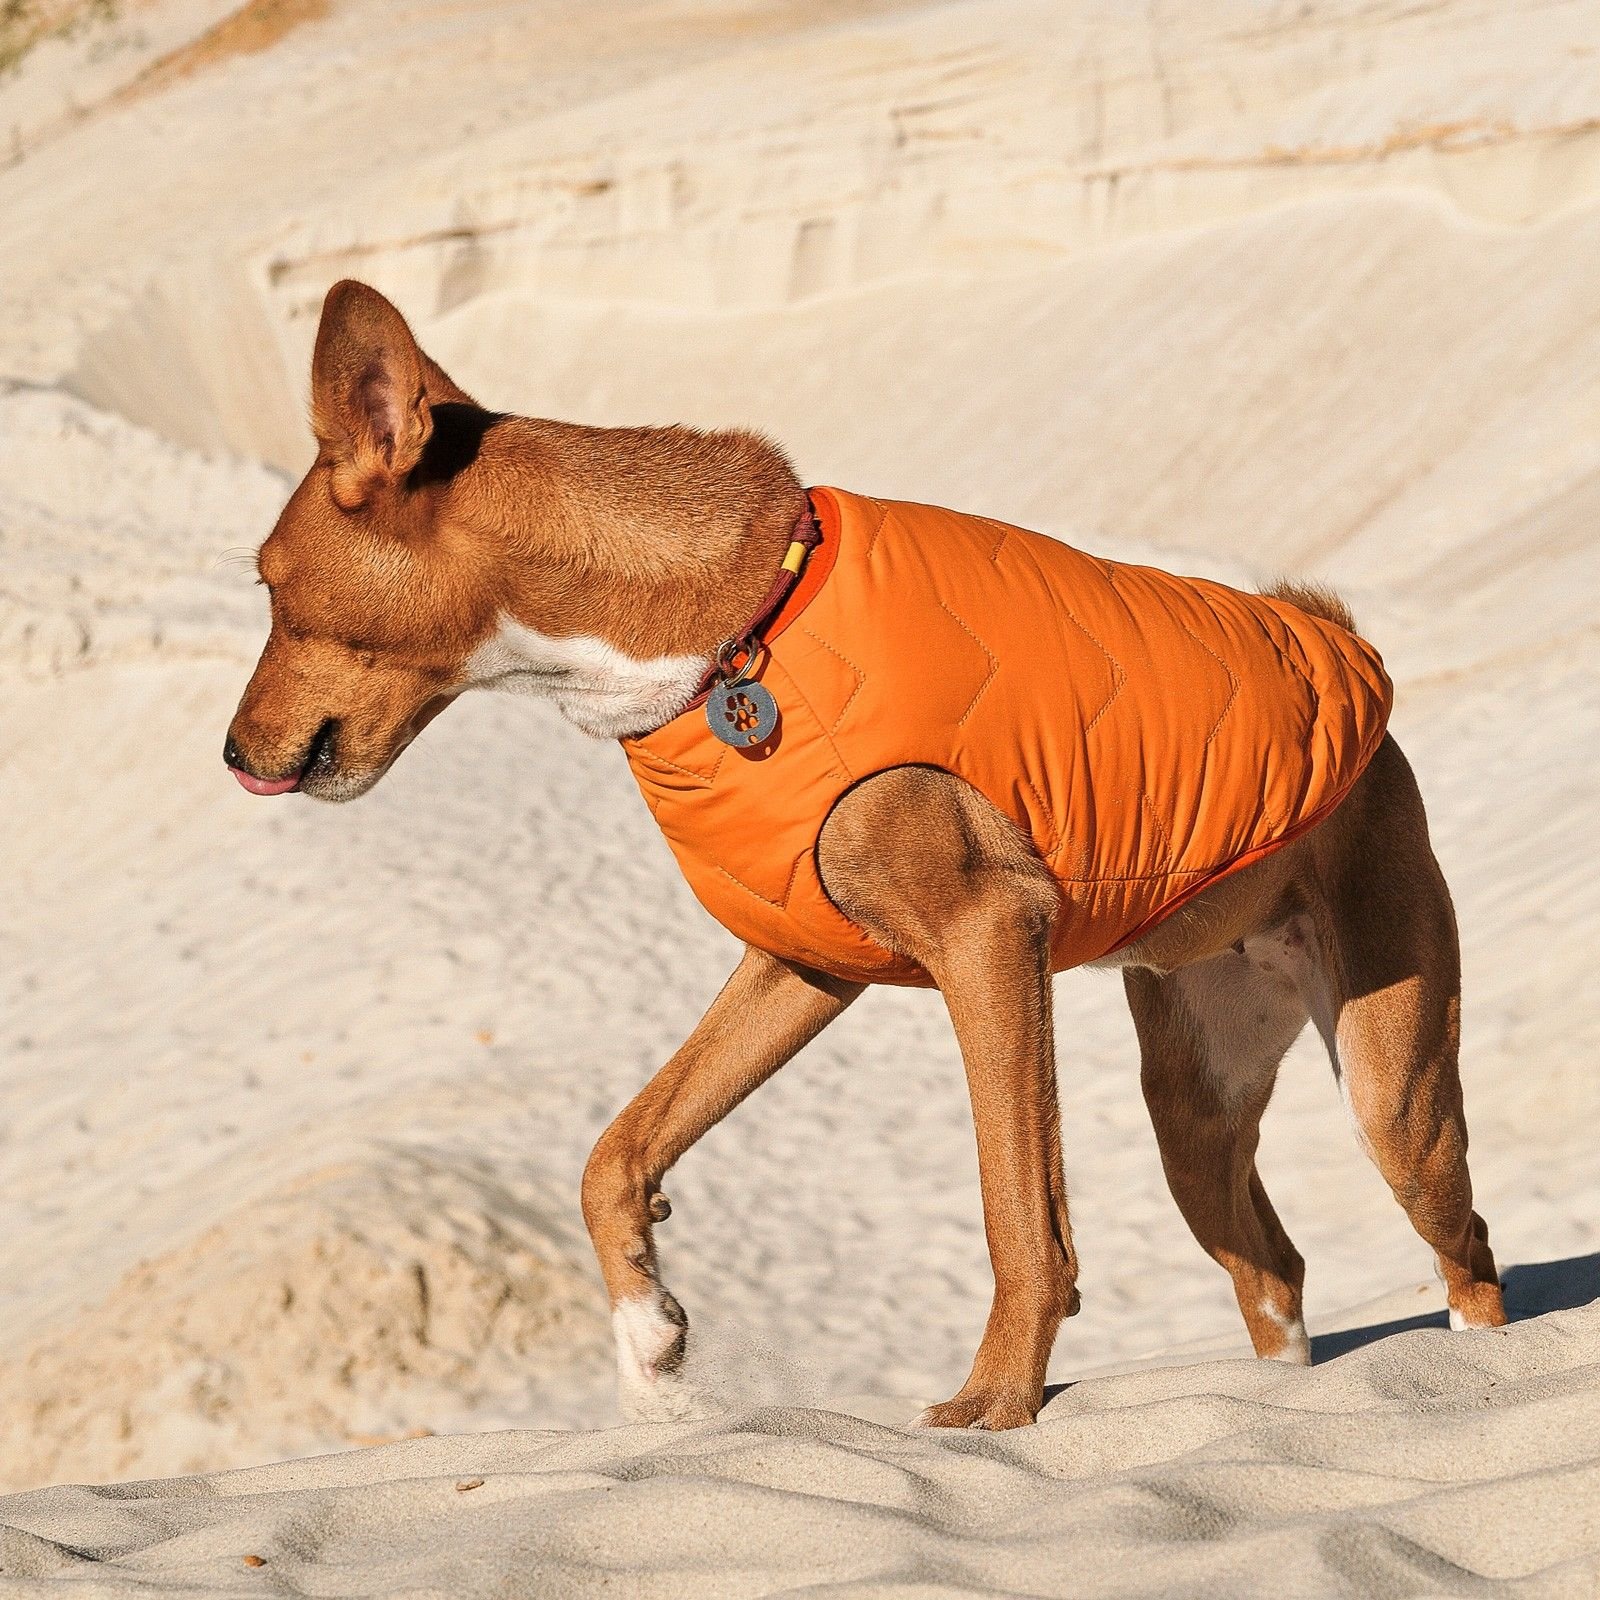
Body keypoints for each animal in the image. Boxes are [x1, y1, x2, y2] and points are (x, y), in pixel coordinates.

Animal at [228, 281, 1510, 1433]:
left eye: (271, 585)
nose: (234, 753)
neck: (737, 625)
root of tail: (1336, 642)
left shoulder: (989, 940)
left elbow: (1018, 1216)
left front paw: (995, 1404)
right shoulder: (802, 965)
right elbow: (615, 1148)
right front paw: (649, 1335)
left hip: (1391, 1093)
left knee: (1469, 1245)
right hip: (1193, 1105)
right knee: (1273, 1270)